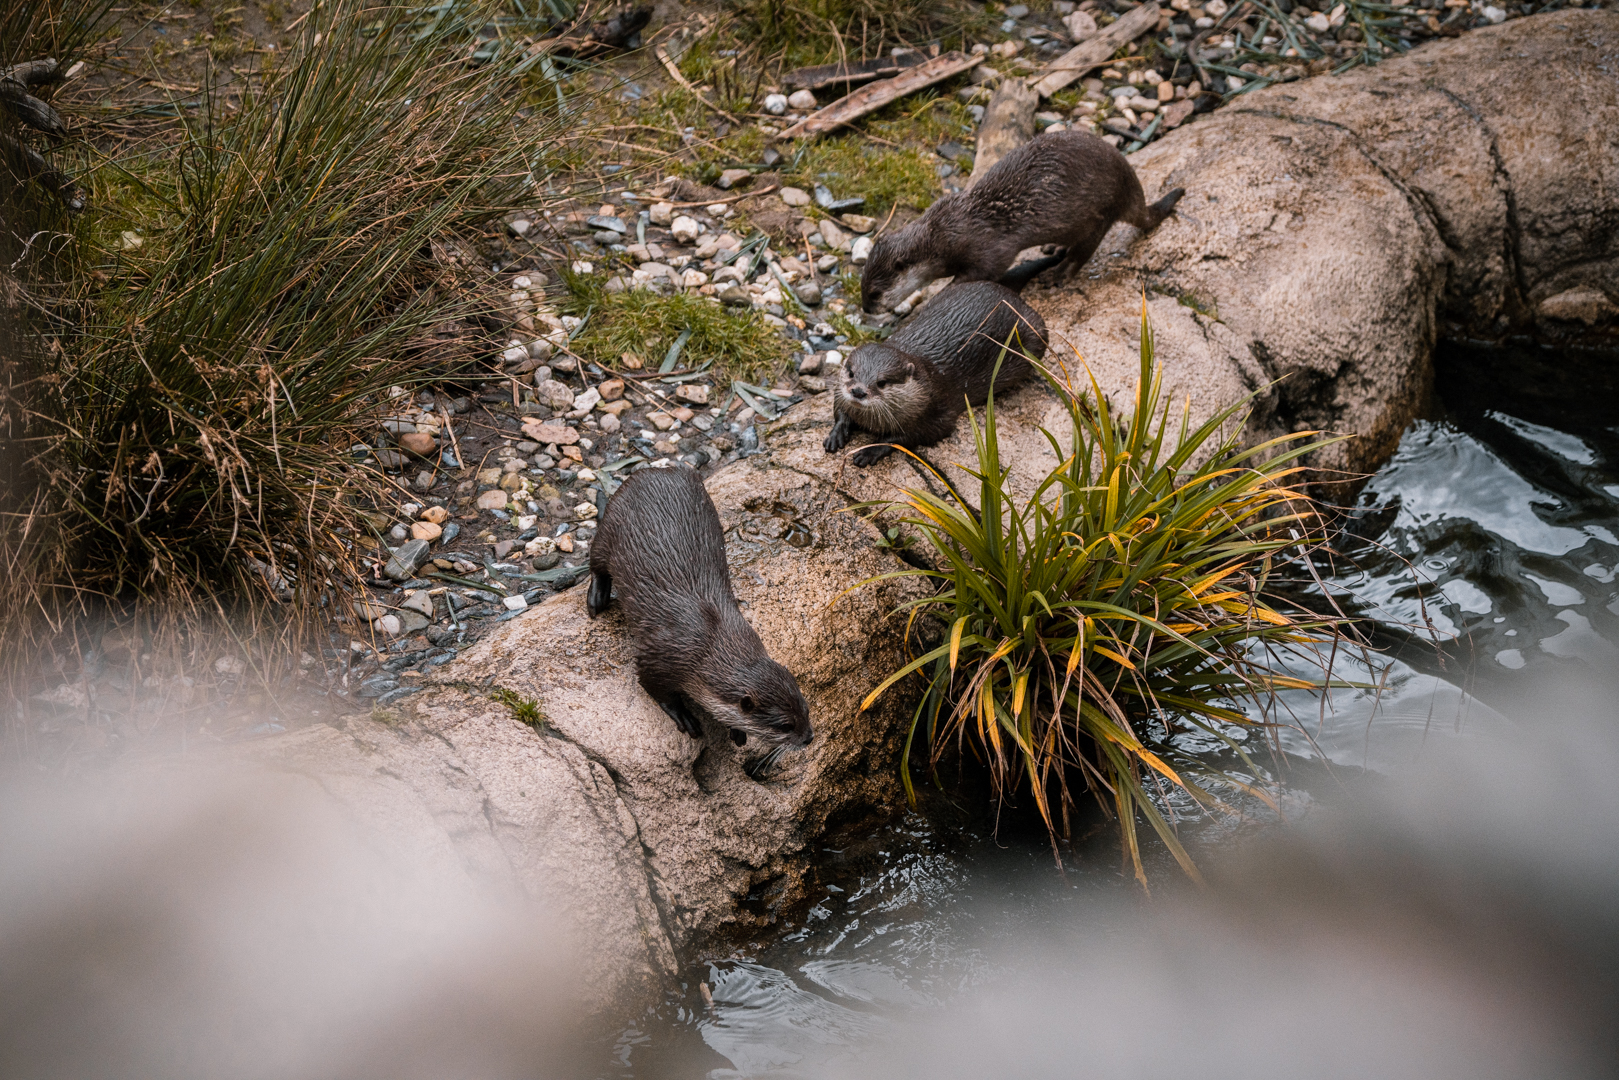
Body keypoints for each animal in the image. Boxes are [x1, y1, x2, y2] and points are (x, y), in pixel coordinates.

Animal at [587, 466, 812, 749]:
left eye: (806, 708)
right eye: (786, 725)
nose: (809, 737)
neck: (709, 644)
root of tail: (656, 469)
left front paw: (736, 730)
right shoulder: (657, 656)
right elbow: (656, 689)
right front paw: (684, 716)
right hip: (609, 527)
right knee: (596, 560)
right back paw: (597, 598)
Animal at [824, 281, 1047, 466]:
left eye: (882, 382)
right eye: (852, 373)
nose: (858, 391)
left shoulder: (937, 413)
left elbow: (907, 437)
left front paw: (870, 450)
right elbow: (839, 409)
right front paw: (836, 434)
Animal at [861, 129, 1184, 312]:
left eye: (875, 293)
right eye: (862, 288)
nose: (866, 310)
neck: (944, 234)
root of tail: (1131, 183)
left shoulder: (988, 249)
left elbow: (983, 271)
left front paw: (942, 293)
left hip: (1100, 213)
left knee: (1084, 252)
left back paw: (1057, 274)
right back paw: (1054, 248)